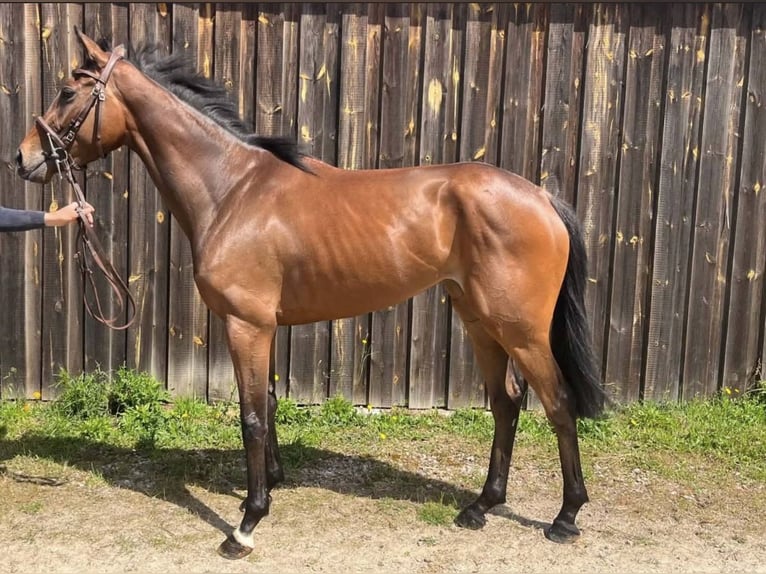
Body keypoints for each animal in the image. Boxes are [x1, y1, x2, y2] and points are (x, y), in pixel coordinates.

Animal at [16, 28, 606, 559]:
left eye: (67, 92)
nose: (22, 158)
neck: (232, 190)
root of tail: (543, 197)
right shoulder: (265, 326)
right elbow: (270, 405)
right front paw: (267, 487)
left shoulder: (246, 324)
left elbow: (251, 417)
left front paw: (246, 526)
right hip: (480, 321)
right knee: (506, 404)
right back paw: (481, 506)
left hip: (521, 329)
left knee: (558, 403)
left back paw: (566, 516)